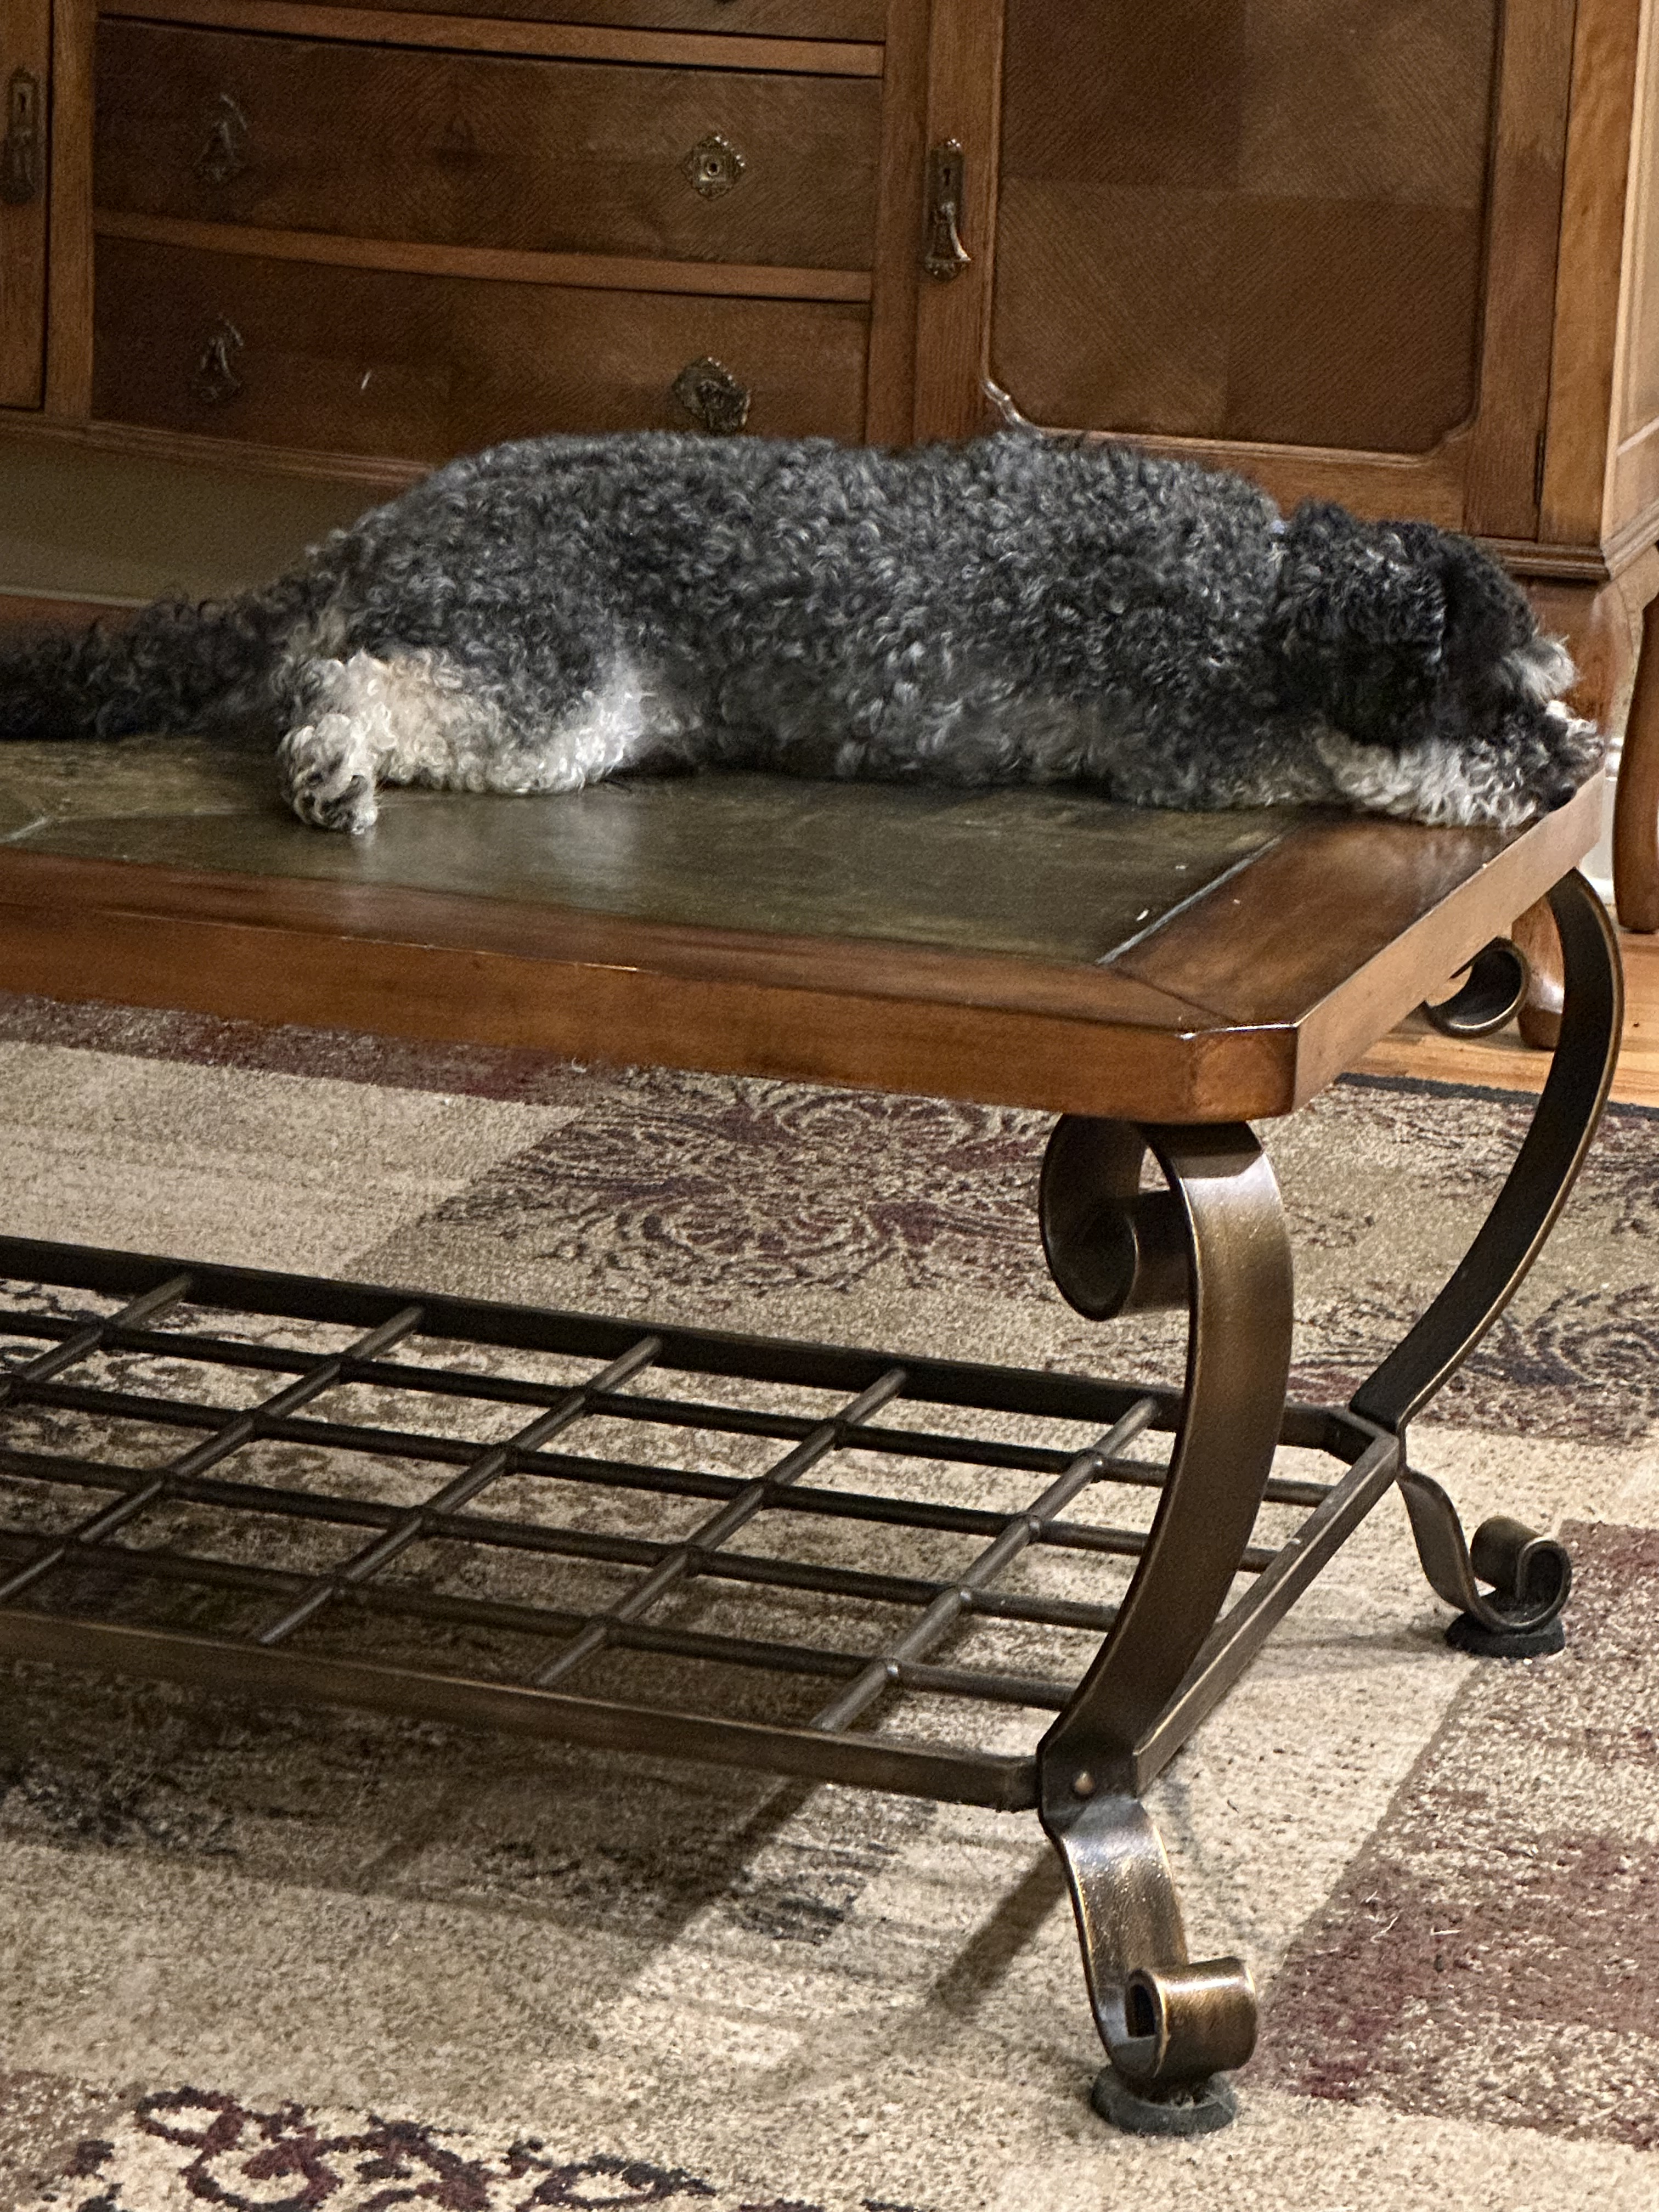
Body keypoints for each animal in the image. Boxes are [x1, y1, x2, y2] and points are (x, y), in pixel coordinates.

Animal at [0, 431, 1600, 833]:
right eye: (1491, 706)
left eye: (1544, 688)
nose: (1579, 769)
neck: (1267, 603)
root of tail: (384, 524)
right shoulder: (1198, 755)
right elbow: (1323, 769)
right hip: (551, 687)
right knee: (340, 680)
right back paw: (330, 766)